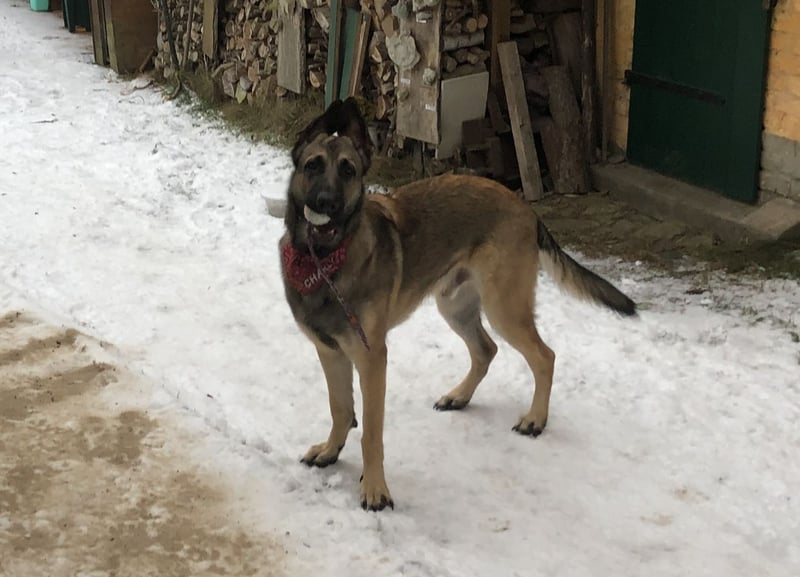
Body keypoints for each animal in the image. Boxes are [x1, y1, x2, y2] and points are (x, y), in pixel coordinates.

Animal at [279, 98, 636, 511]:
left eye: (348, 170)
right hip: (455, 306)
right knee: (486, 349)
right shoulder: (330, 351)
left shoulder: (371, 359)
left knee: (544, 356)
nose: (327, 203)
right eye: (312, 165)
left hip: (503, 306)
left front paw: (375, 488)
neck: (324, 259)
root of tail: (525, 207)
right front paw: (331, 451)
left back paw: (535, 419)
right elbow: (340, 409)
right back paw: (460, 397)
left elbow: (371, 431)